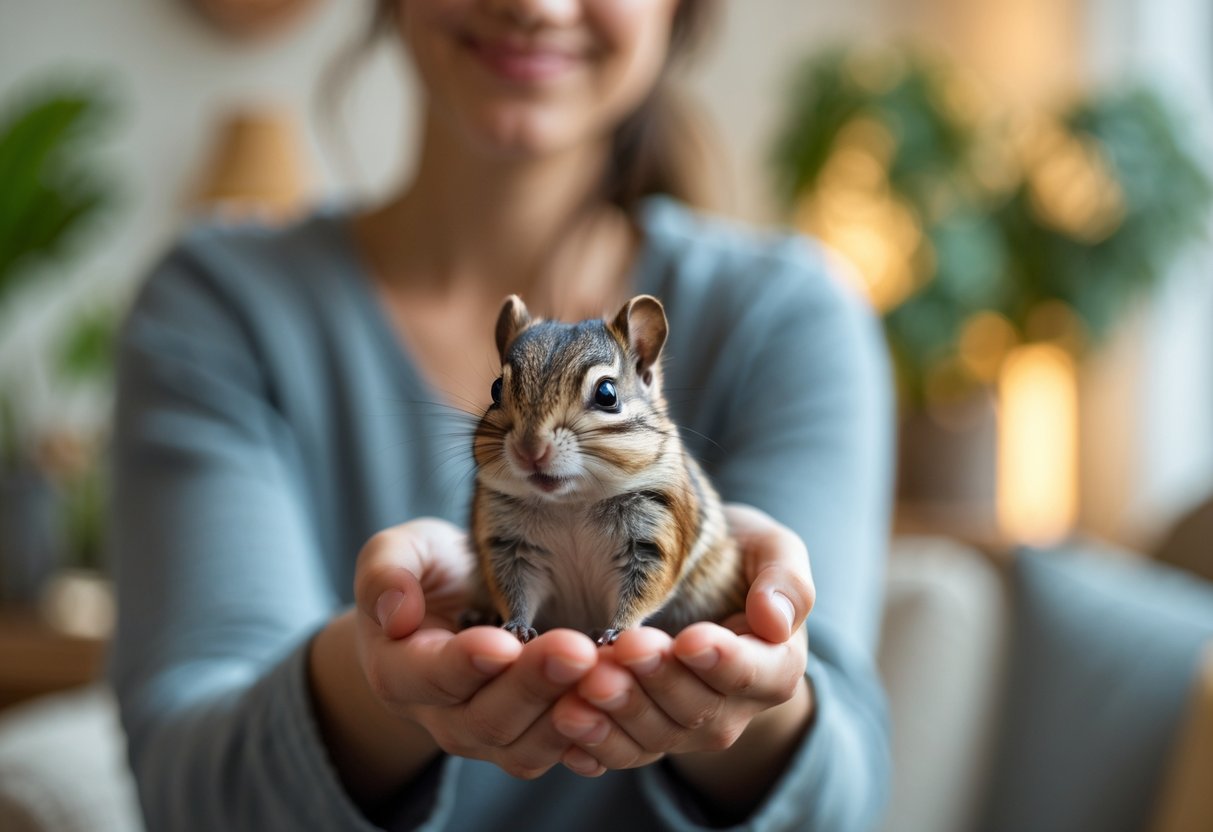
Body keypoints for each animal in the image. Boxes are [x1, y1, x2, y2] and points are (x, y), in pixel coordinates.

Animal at [467, 293, 745, 645]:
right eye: (496, 389)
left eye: (607, 393)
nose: (530, 449)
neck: (571, 504)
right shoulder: (509, 545)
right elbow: (514, 591)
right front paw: (515, 625)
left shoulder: (654, 539)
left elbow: (643, 590)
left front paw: (620, 629)